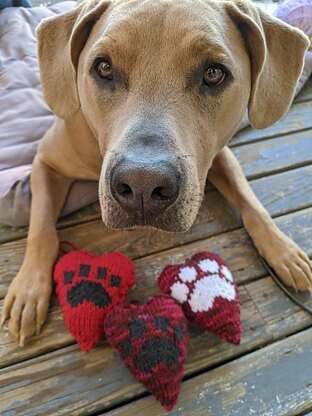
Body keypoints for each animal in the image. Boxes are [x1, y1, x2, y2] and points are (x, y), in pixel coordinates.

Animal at [1, 0, 310, 346]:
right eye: (104, 67)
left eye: (213, 73)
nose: (142, 186)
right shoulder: (45, 162)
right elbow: (41, 226)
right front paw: (29, 290)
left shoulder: (217, 155)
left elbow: (251, 202)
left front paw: (283, 250)